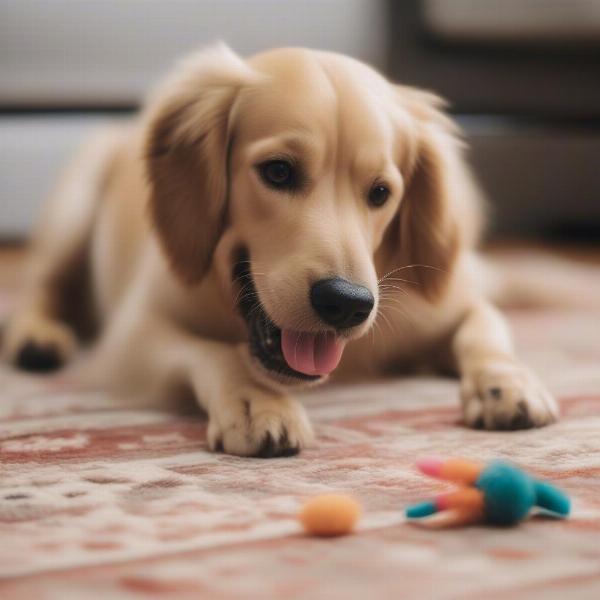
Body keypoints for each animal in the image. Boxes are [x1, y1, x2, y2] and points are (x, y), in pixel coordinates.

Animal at [2, 44, 560, 458]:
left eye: (381, 192)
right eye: (277, 171)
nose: (347, 303)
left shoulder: (443, 305)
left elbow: (486, 329)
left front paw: (508, 384)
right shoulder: (133, 334)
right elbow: (214, 351)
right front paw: (257, 403)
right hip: (75, 201)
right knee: (40, 287)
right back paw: (37, 337)